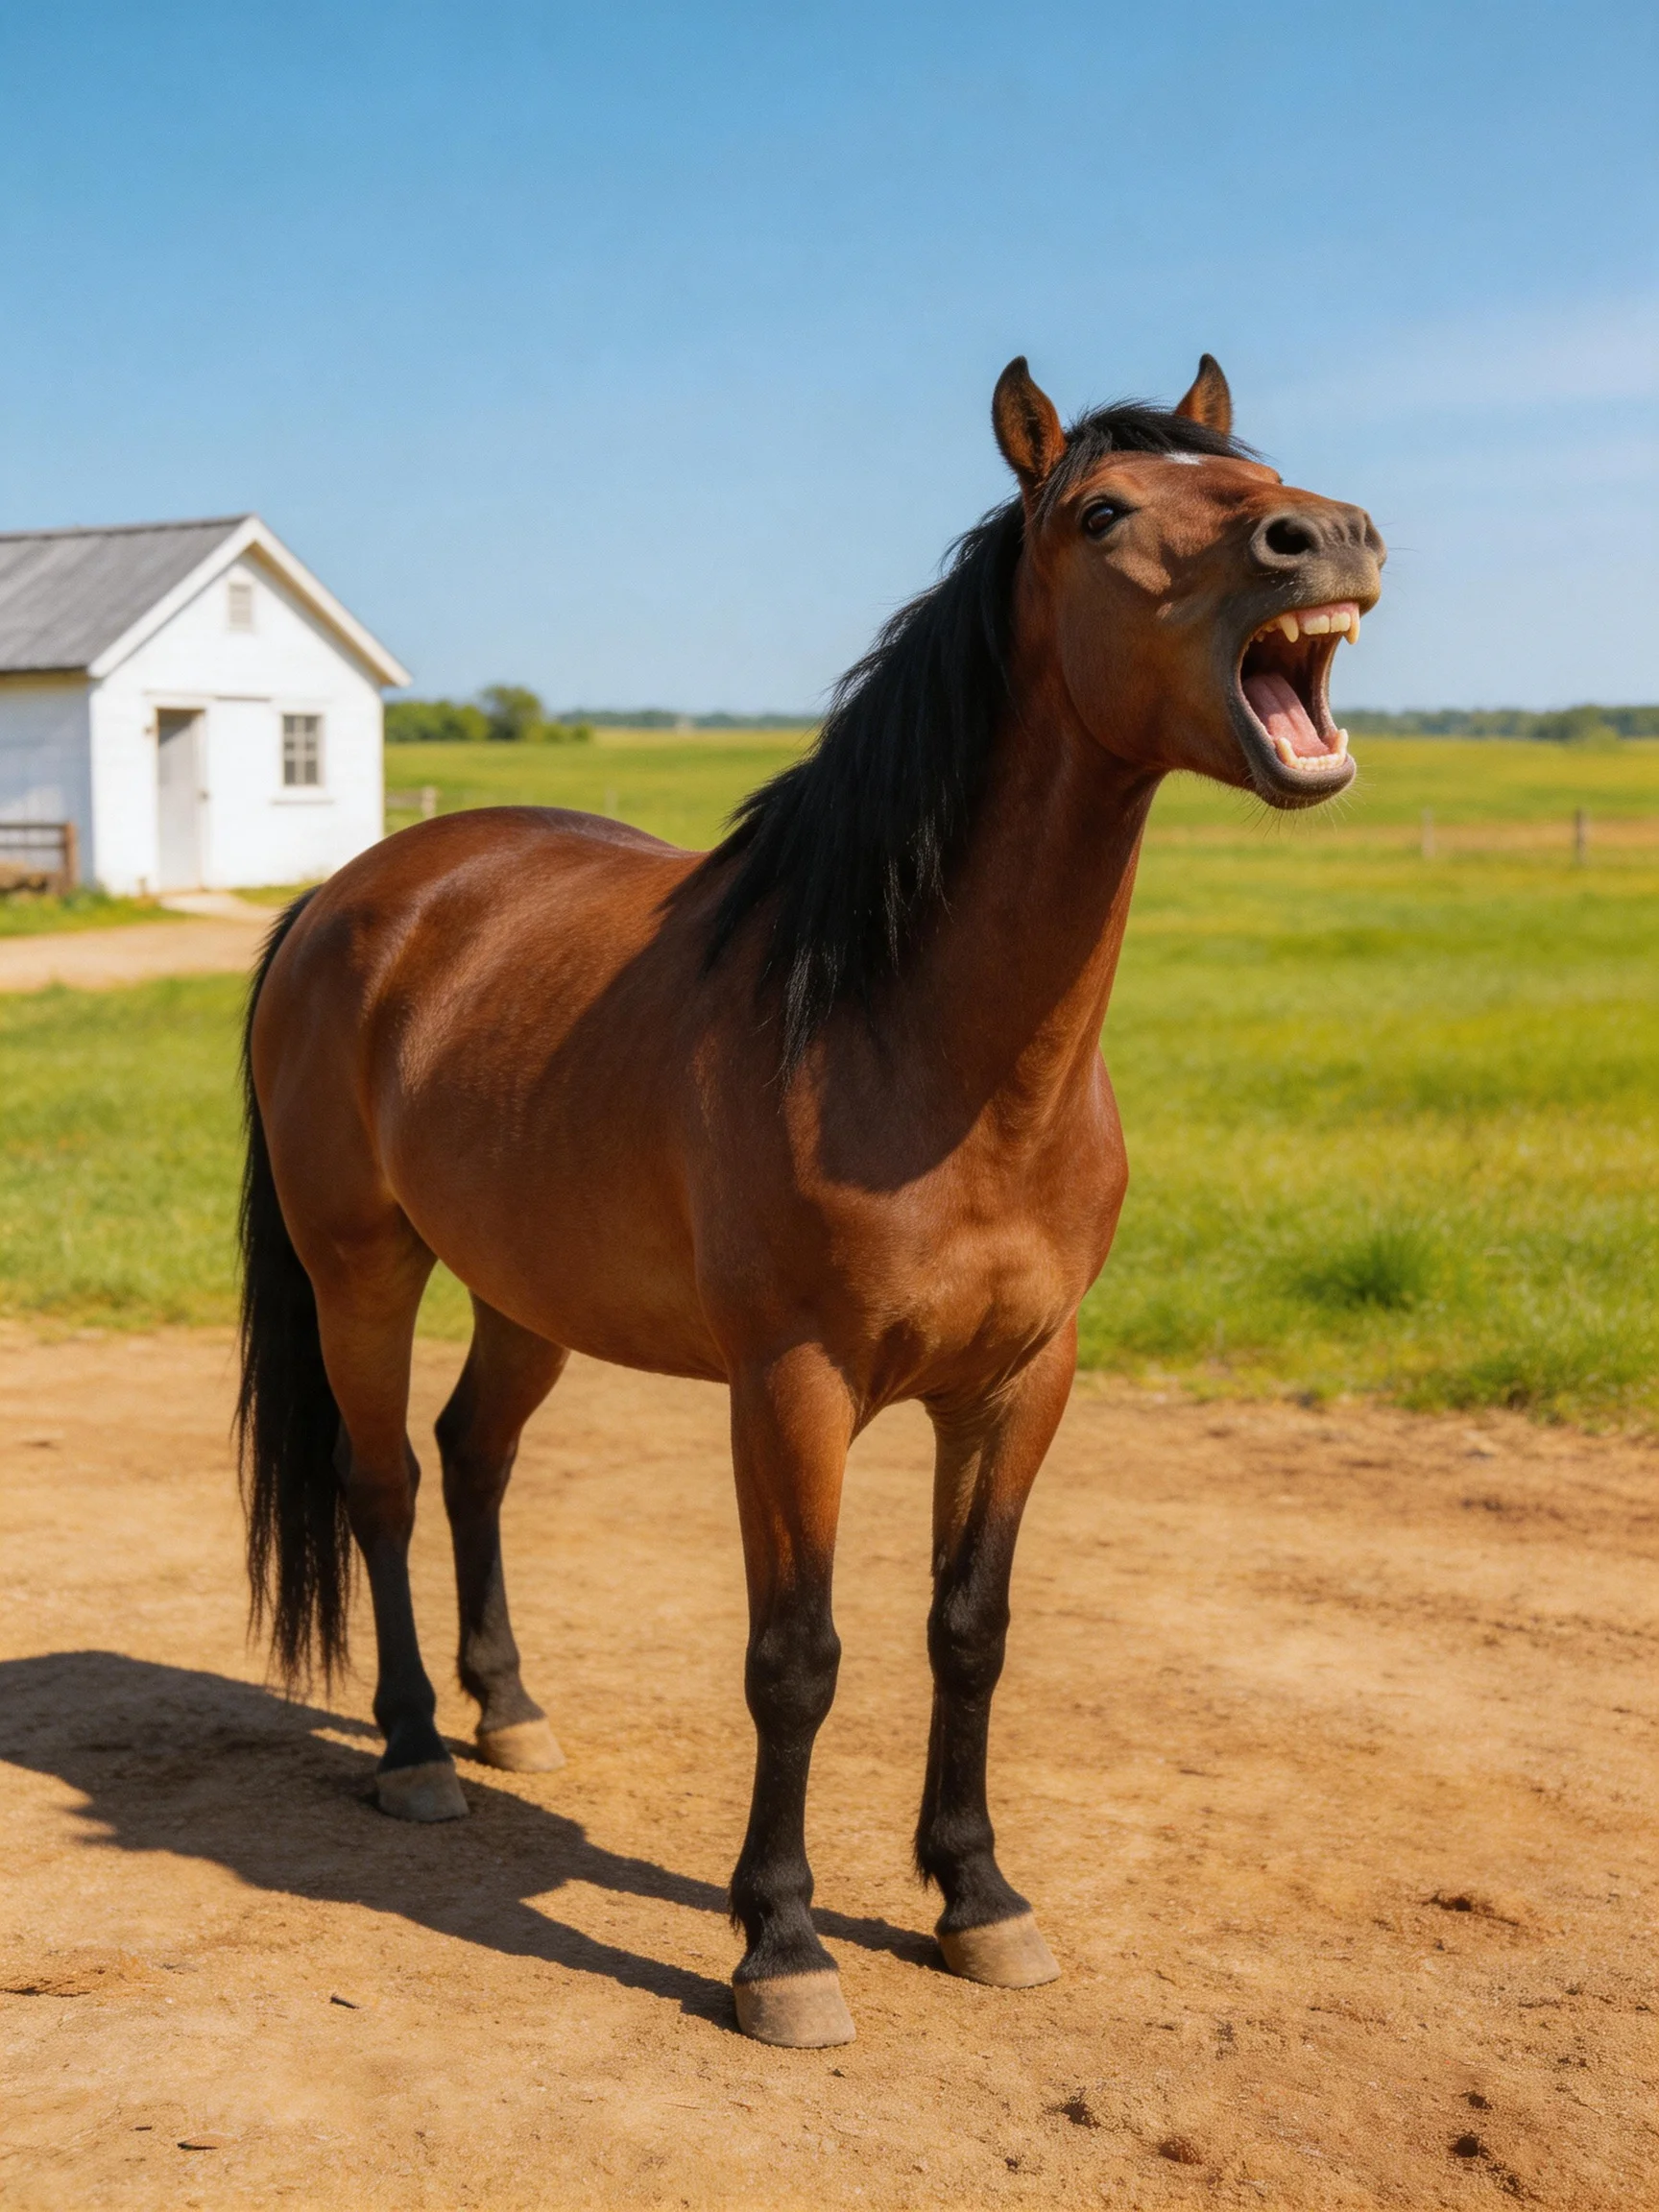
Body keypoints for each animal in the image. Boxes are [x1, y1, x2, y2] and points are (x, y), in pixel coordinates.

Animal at [238, 353, 1384, 2048]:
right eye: (1104, 512)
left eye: (1262, 475)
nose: (1329, 538)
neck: (913, 1040)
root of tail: (348, 896)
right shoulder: (792, 1386)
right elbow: (797, 1656)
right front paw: (781, 1943)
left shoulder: (1022, 1383)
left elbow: (967, 1633)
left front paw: (978, 1898)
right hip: (360, 1268)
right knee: (380, 1484)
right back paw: (418, 1754)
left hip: (526, 1289)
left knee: (474, 1456)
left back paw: (508, 1711)